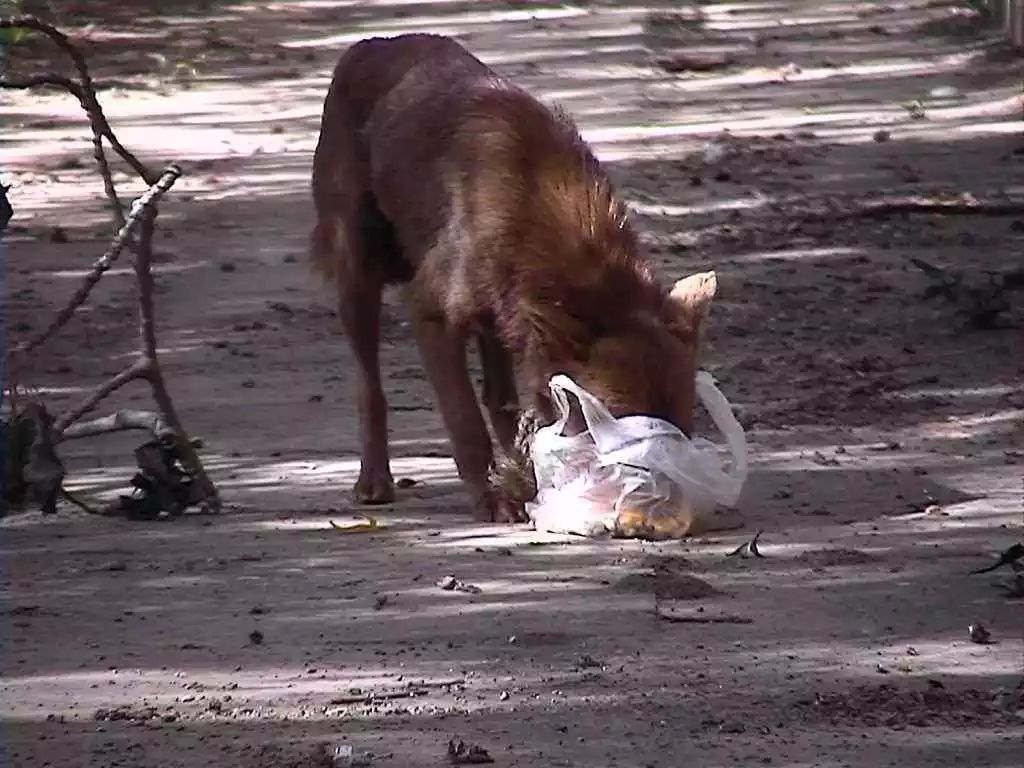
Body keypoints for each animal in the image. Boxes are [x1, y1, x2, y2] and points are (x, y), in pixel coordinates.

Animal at [311, 31, 720, 524]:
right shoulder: (431, 313)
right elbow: (464, 418)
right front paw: (492, 499)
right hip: (359, 273)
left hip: (494, 322)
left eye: (681, 431)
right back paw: (374, 481)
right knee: (369, 383)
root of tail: (369, 44)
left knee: (499, 396)